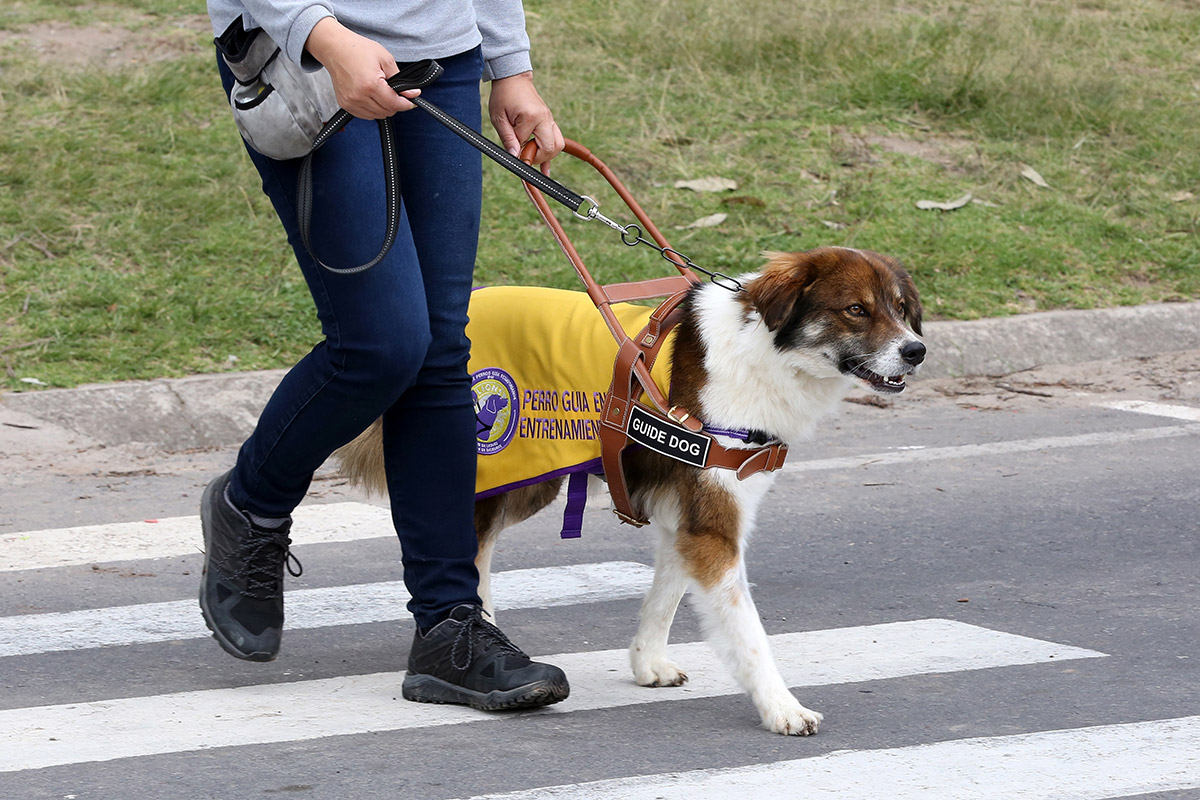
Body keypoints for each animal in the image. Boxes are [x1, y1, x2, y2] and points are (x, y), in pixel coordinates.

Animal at [338, 247, 926, 734]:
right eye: (856, 309)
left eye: (901, 308)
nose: (917, 351)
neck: (764, 355)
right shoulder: (714, 529)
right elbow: (750, 635)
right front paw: (782, 708)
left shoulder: (688, 518)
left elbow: (664, 597)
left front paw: (647, 663)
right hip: (498, 471)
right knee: (474, 555)